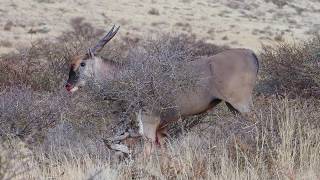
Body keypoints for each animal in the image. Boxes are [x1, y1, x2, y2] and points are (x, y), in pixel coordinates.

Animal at [65, 25, 260, 156]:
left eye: (82, 64)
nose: (67, 85)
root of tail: (251, 54)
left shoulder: (149, 123)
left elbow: (145, 151)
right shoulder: (161, 128)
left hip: (241, 103)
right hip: (232, 107)